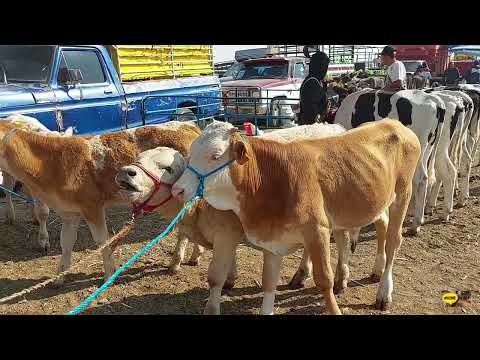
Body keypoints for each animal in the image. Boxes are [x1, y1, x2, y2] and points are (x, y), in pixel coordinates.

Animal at [0, 120, 200, 284]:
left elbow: (102, 240)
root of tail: (189, 125)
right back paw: (195, 254)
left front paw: (109, 273)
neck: (54, 162)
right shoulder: (69, 213)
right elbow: (66, 243)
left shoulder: (92, 207)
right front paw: (60, 275)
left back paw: (175, 262)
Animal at [172, 119, 420, 314]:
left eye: (215, 156)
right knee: (372, 228)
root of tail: (393, 123)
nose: (177, 190)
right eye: (190, 153)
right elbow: (268, 282)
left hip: (403, 194)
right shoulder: (272, 241)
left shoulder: (317, 230)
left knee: (393, 241)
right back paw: (364, 273)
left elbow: (323, 280)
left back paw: (384, 293)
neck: (270, 181)